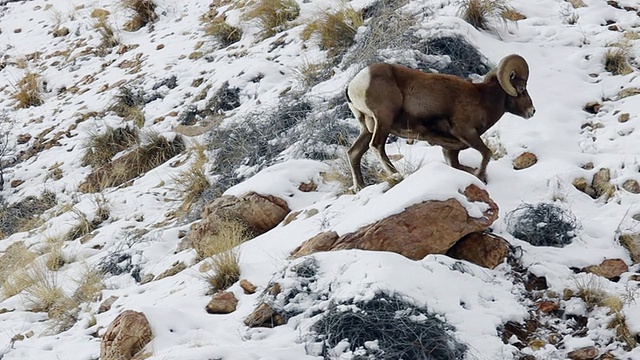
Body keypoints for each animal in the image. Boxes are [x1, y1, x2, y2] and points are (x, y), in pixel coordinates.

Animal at [344, 53, 536, 191]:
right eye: (522, 88)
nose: (532, 111)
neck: (482, 99)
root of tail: (353, 85)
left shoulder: (450, 149)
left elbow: (458, 165)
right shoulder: (466, 132)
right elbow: (486, 153)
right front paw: (480, 176)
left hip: (367, 127)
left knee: (354, 152)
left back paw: (359, 187)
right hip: (383, 120)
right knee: (376, 146)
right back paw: (397, 176)